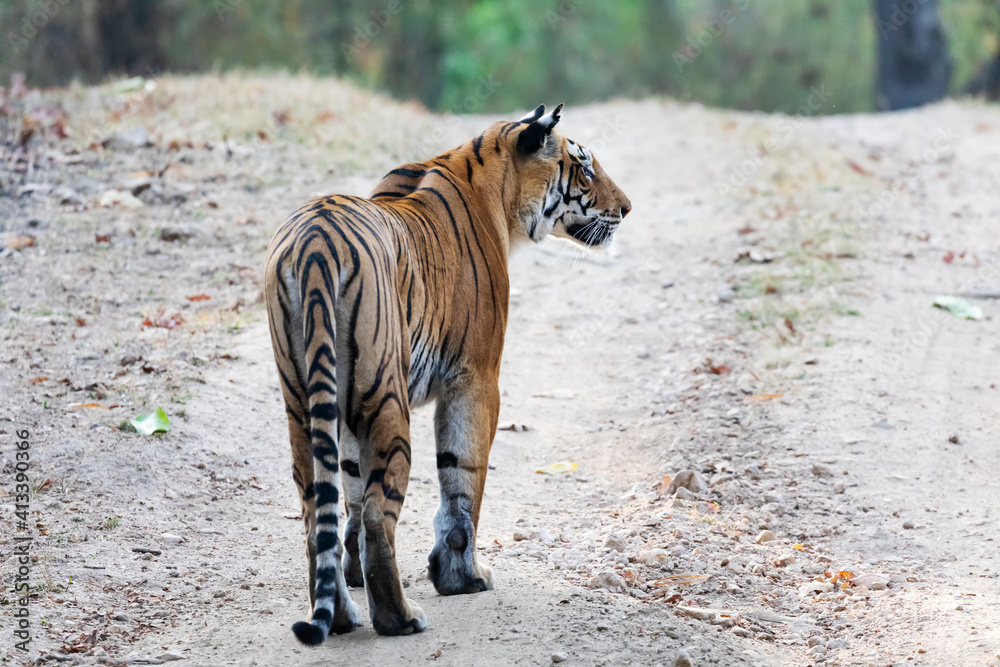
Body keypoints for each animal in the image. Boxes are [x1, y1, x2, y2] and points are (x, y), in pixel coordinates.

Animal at [264, 103, 632, 643]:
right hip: (386, 399)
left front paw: (352, 579)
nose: (627, 208)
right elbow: (463, 480)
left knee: (317, 516)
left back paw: (343, 616)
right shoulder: (477, 377)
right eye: (585, 169)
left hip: (302, 404)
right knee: (377, 515)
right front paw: (463, 576)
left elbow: (345, 499)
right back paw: (400, 617)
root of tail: (315, 244)